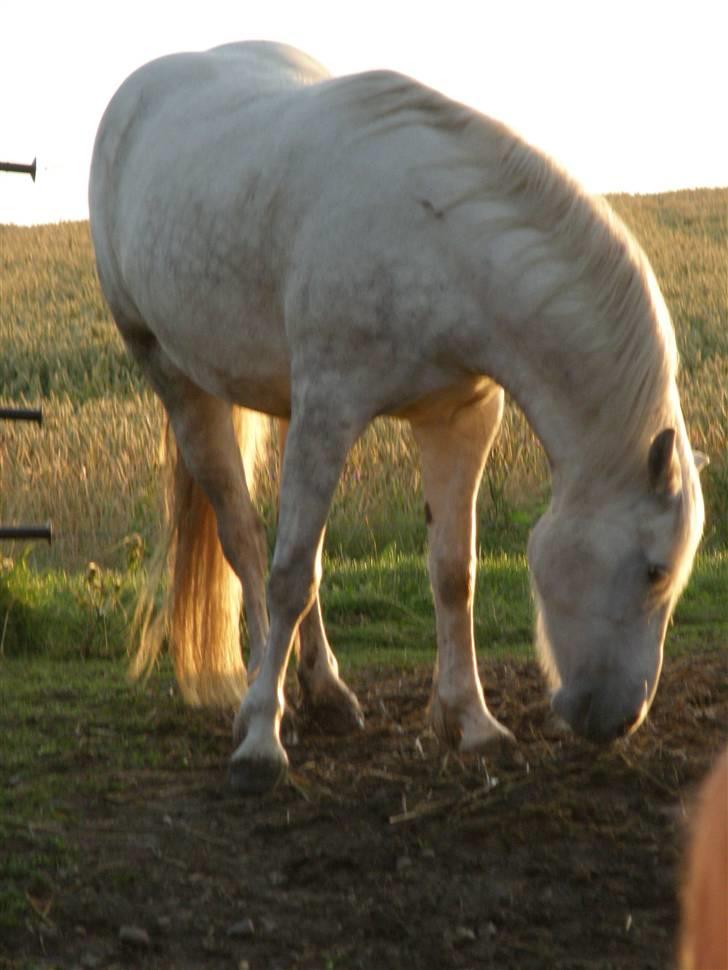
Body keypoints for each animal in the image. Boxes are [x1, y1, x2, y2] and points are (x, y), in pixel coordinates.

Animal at [86, 39, 704, 796]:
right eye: (653, 570)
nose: (618, 720)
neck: (441, 242)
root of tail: (145, 87)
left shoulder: (459, 418)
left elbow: (452, 571)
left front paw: (472, 722)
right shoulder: (330, 409)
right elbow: (290, 575)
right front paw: (261, 741)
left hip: (286, 407)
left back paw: (324, 692)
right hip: (180, 385)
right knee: (246, 540)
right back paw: (266, 693)